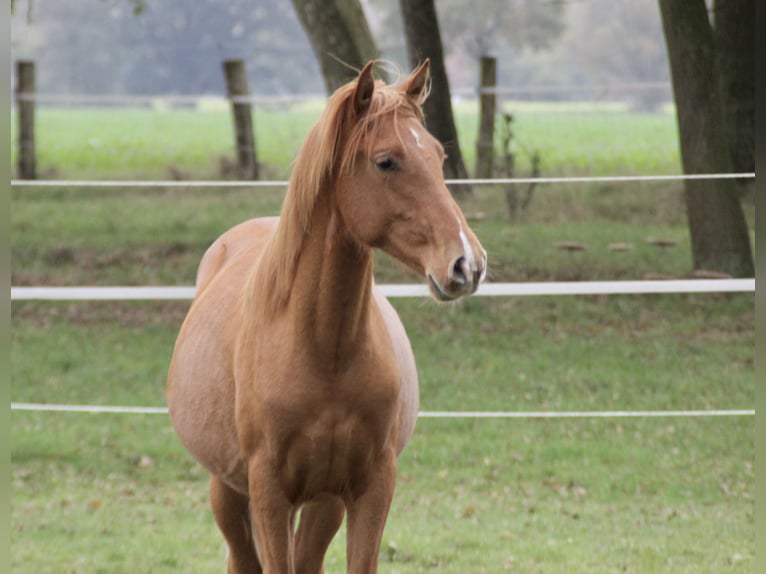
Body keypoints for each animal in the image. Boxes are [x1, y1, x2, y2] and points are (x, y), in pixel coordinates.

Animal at [168, 60, 486, 572]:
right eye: (386, 161)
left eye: (438, 156)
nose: (466, 264)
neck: (323, 351)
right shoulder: (268, 494)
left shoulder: (368, 489)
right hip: (229, 492)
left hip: (322, 505)